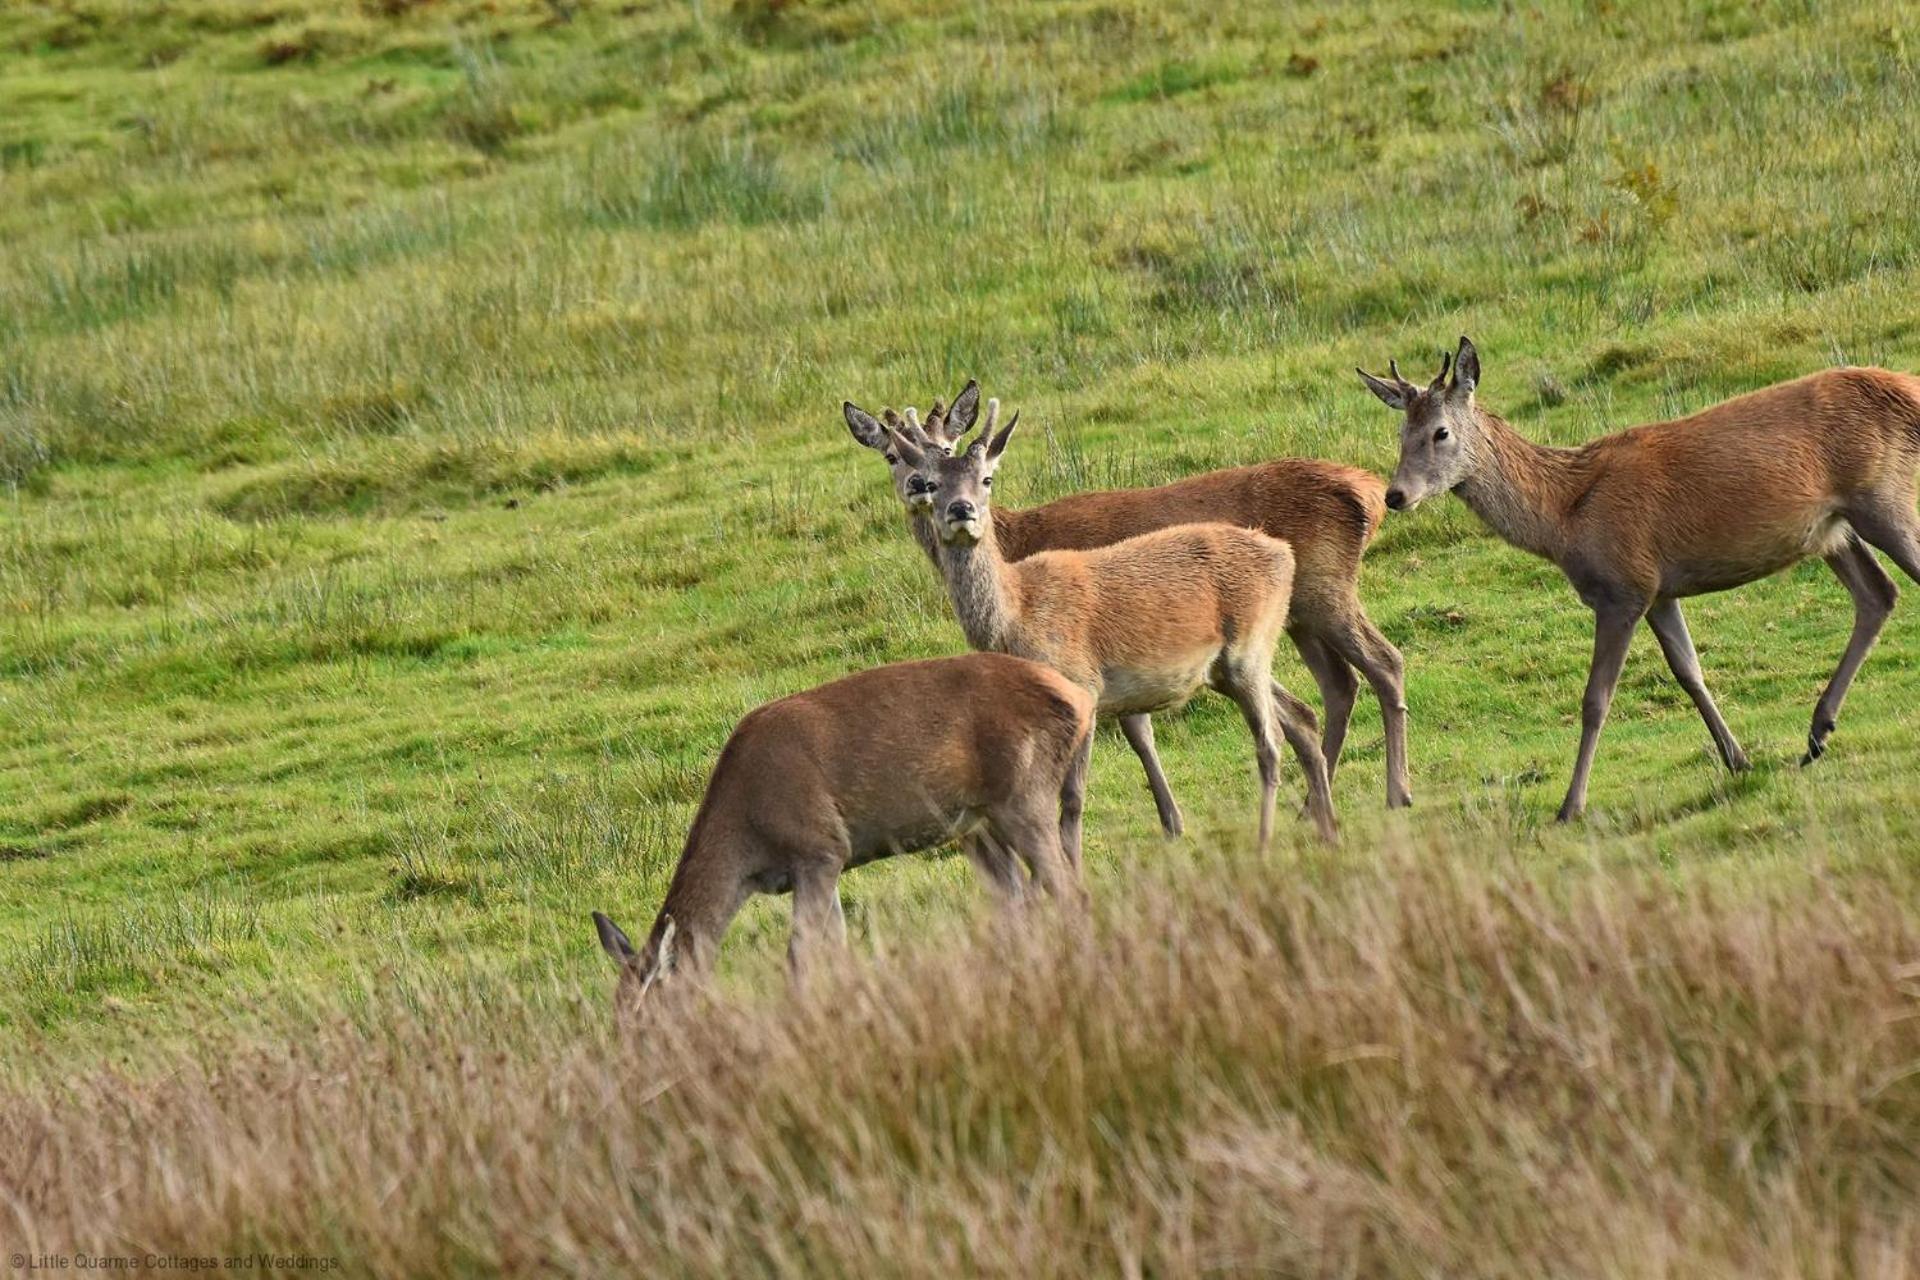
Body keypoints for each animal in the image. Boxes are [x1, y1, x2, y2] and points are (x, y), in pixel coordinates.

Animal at [583, 656, 1098, 1013]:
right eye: (615, 1012)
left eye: (647, 1014)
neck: (749, 840)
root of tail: (1082, 701)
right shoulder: (826, 861)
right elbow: (837, 944)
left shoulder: (819, 847)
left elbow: (801, 953)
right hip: (979, 822)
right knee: (1021, 898)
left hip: (1023, 794)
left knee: (1069, 890)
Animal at [840, 378, 1413, 832]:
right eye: (892, 454)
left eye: (952, 441)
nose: (922, 488)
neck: (1013, 545)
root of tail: (1367, 490)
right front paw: (1172, 820)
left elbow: (1135, 732)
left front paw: (1172, 822)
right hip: (1297, 617)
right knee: (1334, 688)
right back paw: (1316, 808)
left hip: (1325, 588)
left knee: (1382, 663)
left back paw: (1394, 793)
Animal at [1359, 337, 1920, 821]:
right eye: (1401, 434)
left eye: (1441, 431)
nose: (1396, 495)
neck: (1565, 517)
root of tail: (1906, 386)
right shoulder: (1659, 590)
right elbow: (1689, 672)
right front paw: (1738, 760)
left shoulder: (1622, 587)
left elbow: (1595, 700)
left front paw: (1570, 806)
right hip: (1834, 529)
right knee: (1879, 594)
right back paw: (1817, 734)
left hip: (1884, 495)